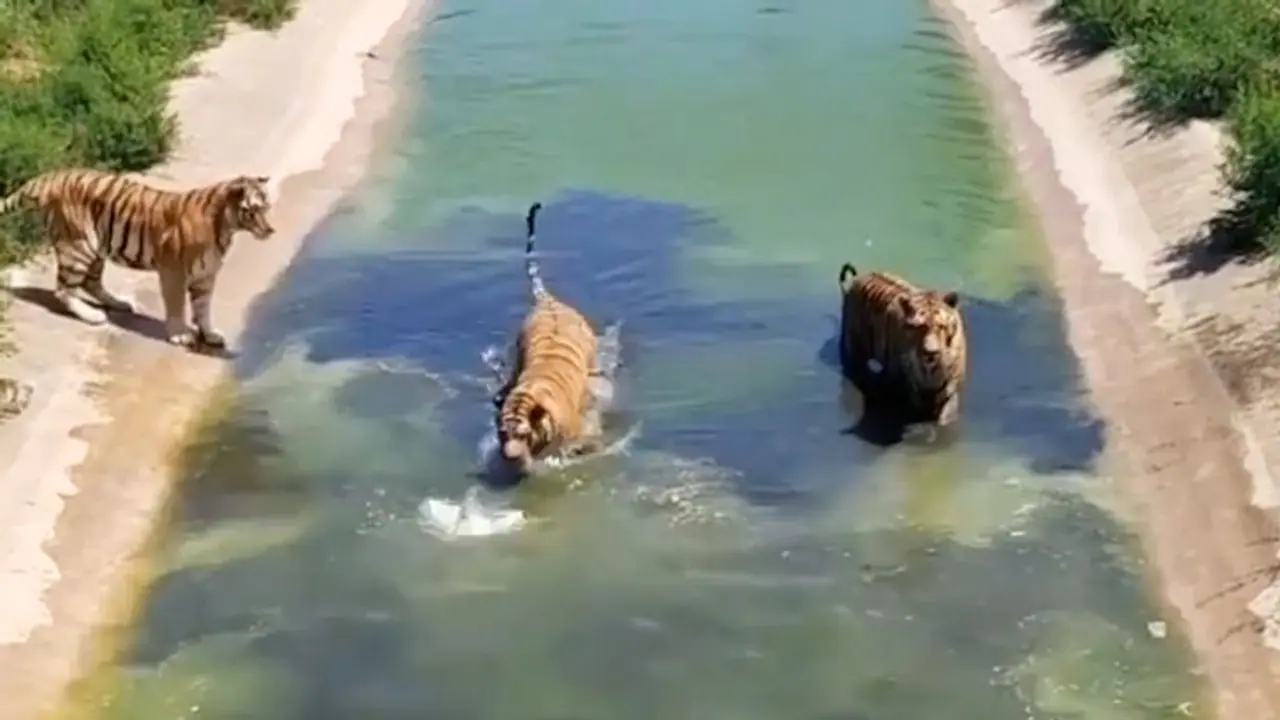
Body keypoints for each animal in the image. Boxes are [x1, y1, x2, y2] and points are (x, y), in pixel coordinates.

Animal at [0, 168, 275, 349]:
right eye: (253, 211)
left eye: (267, 207)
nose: (271, 230)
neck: (227, 227)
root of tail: (50, 177)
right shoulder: (174, 272)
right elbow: (177, 306)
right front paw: (180, 335)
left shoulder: (206, 276)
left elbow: (203, 308)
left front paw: (210, 334)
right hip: (79, 246)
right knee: (63, 289)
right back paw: (92, 316)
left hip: (96, 248)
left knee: (91, 282)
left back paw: (119, 303)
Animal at [838, 262, 967, 436]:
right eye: (919, 327)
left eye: (941, 326)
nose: (930, 353)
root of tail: (856, 280)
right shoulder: (905, 386)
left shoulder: (949, 387)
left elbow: (945, 413)